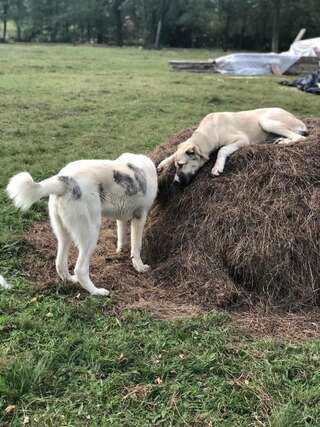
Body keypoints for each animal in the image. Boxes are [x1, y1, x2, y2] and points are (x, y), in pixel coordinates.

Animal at [7, 155, 158, 298]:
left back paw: (70, 280)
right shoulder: (140, 217)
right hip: (90, 234)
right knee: (80, 269)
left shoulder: (121, 219)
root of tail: (64, 179)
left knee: (60, 263)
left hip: (64, 236)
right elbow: (136, 247)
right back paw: (96, 291)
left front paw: (120, 251)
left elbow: (121, 237)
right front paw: (139, 267)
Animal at [158, 108, 308, 185]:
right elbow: (173, 153)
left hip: (266, 121)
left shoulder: (242, 139)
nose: (175, 182)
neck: (209, 130)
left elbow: (222, 149)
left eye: (182, 165)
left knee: (300, 137)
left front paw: (217, 167)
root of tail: (299, 121)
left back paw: (284, 142)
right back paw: (280, 139)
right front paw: (164, 162)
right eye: (176, 165)